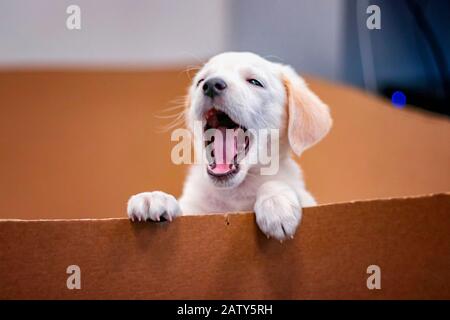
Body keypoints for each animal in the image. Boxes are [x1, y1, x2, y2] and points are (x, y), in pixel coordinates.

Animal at [126, 52, 330, 240]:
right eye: (201, 81)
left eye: (255, 82)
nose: (211, 85)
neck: (234, 194)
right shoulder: (194, 209)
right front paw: (154, 197)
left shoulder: (309, 201)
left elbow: (276, 183)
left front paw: (276, 203)